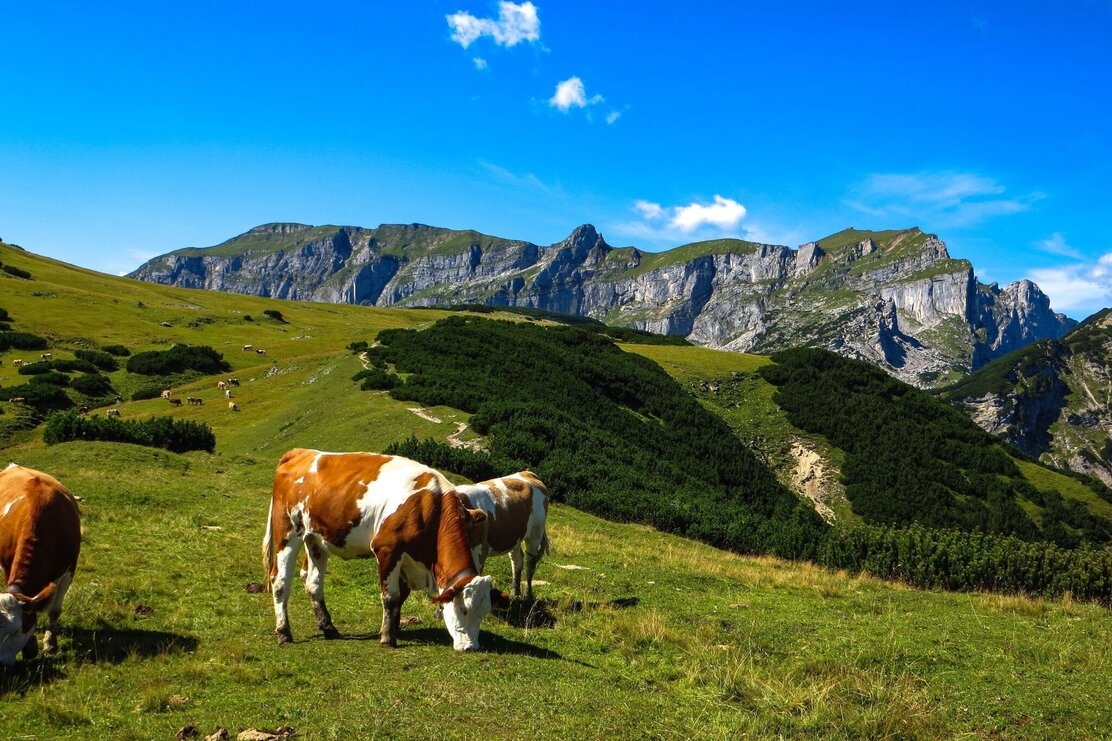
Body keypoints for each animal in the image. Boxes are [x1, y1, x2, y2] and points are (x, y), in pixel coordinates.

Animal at [0, 462, 80, 663]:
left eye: (16, 631)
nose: (0, 664)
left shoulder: (68, 572)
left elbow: (54, 610)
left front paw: (50, 644)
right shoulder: (7, 566)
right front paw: (30, 646)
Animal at [262, 447, 509, 649]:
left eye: (484, 612)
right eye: (463, 609)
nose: (471, 647)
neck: (430, 508)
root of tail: (300, 452)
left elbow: (401, 595)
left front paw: (393, 628)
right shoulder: (387, 549)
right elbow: (391, 596)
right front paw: (388, 638)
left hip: (316, 539)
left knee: (313, 583)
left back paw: (328, 628)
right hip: (288, 531)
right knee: (280, 581)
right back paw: (284, 632)